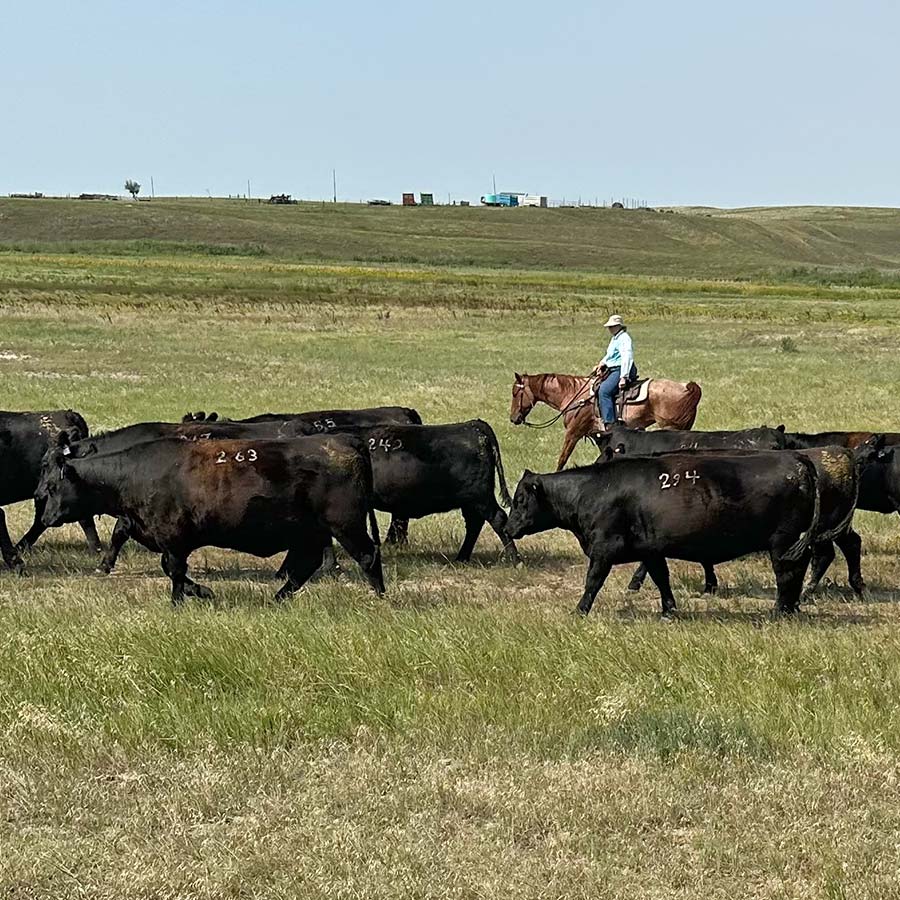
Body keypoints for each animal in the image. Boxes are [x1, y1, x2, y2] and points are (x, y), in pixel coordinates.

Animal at [36, 433, 384, 604]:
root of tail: (347, 442)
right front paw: (202, 592)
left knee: (367, 556)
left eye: (52, 486)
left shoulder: (173, 538)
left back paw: (379, 597)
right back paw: (277, 599)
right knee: (306, 566)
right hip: (312, 531)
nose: (46, 516)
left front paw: (179, 602)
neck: (133, 474)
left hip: (345, 525)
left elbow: (175, 571)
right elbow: (171, 569)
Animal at [505, 452, 821, 617]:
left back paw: (781, 609)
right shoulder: (651, 550)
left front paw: (580, 610)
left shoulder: (604, 548)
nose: (508, 529)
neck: (593, 490)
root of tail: (795, 459)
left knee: (787, 571)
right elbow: (661, 579)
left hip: (783, 541)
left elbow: (593, 580)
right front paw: (669, 610)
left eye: (520, 499)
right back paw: (792, 607)